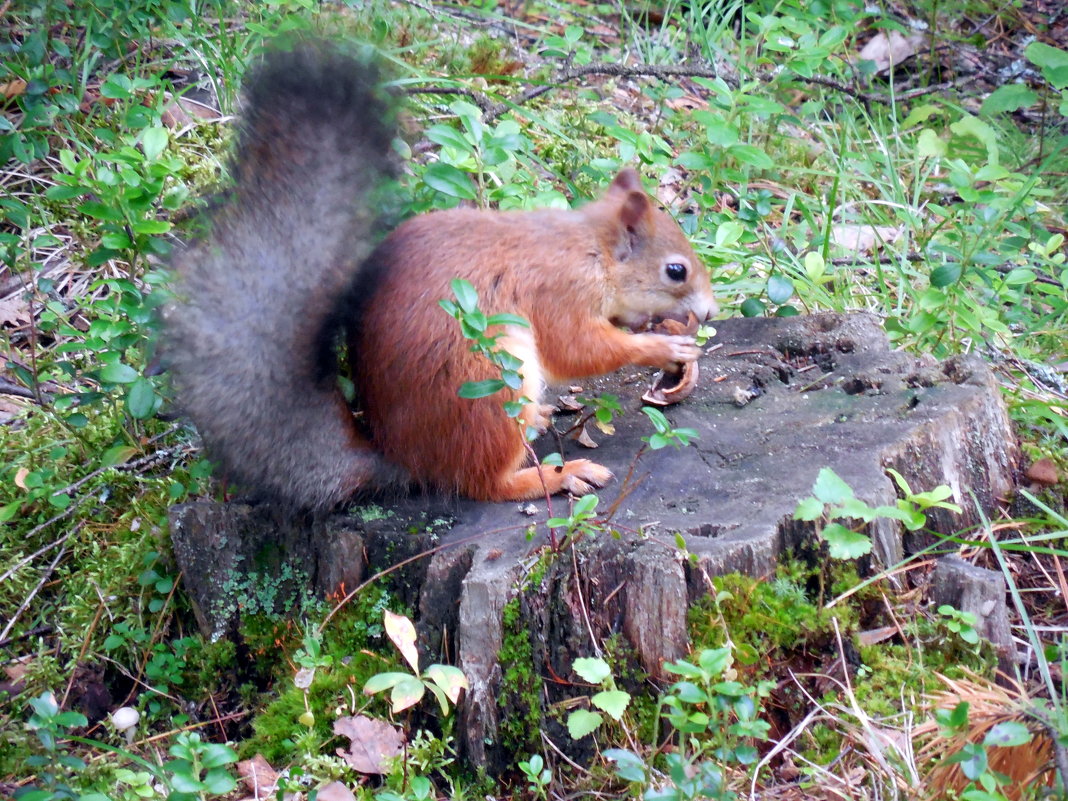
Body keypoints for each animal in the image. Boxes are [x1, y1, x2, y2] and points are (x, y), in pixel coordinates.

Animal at [166, 42, 717, 514]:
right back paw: (556, 475)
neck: (593, 251)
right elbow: (577, 350)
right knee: (483, 483)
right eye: (676, 270)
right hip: (490, 375)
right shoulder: (559, 292)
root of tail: (404, 458)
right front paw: (661, 348)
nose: (710, 310)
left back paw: (541, 420)